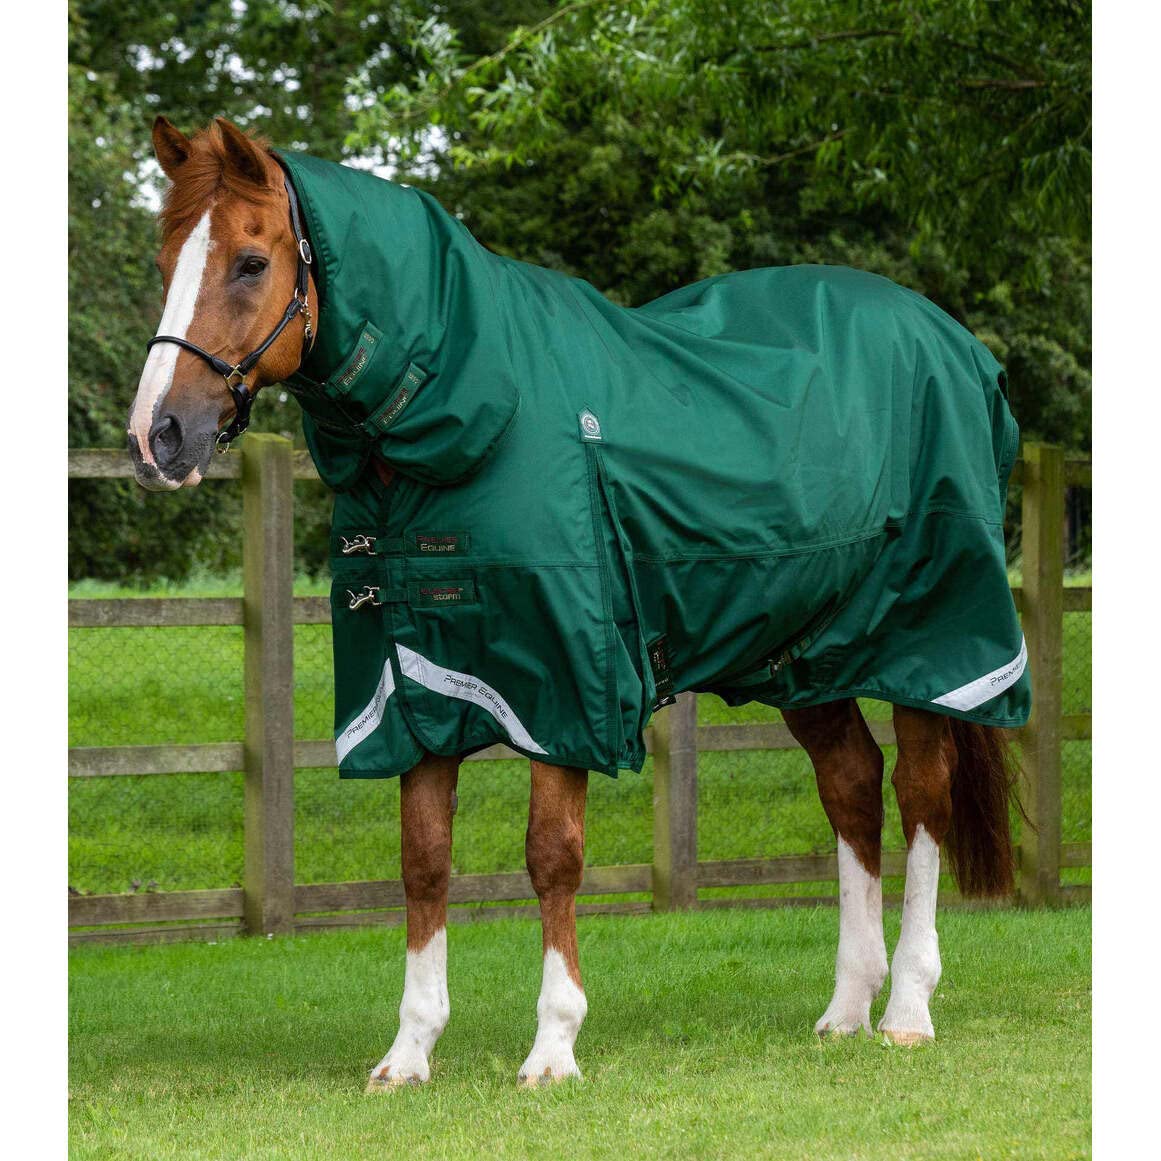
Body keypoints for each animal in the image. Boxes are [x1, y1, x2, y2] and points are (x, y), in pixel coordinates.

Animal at [127, 116, 1024, 1087]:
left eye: (252, 262)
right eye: (165, 256)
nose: (157, 435)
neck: (473, 405)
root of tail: (958, 348)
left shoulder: (563, 687)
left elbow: (551, 855)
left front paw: (553, 1045)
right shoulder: (412, 689)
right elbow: (423, 860)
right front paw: (409, 1051)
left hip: (930, 643)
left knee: (921, 794)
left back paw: (906, 1009)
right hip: (804, 655)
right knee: (852, 788)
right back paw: (846, 1006)